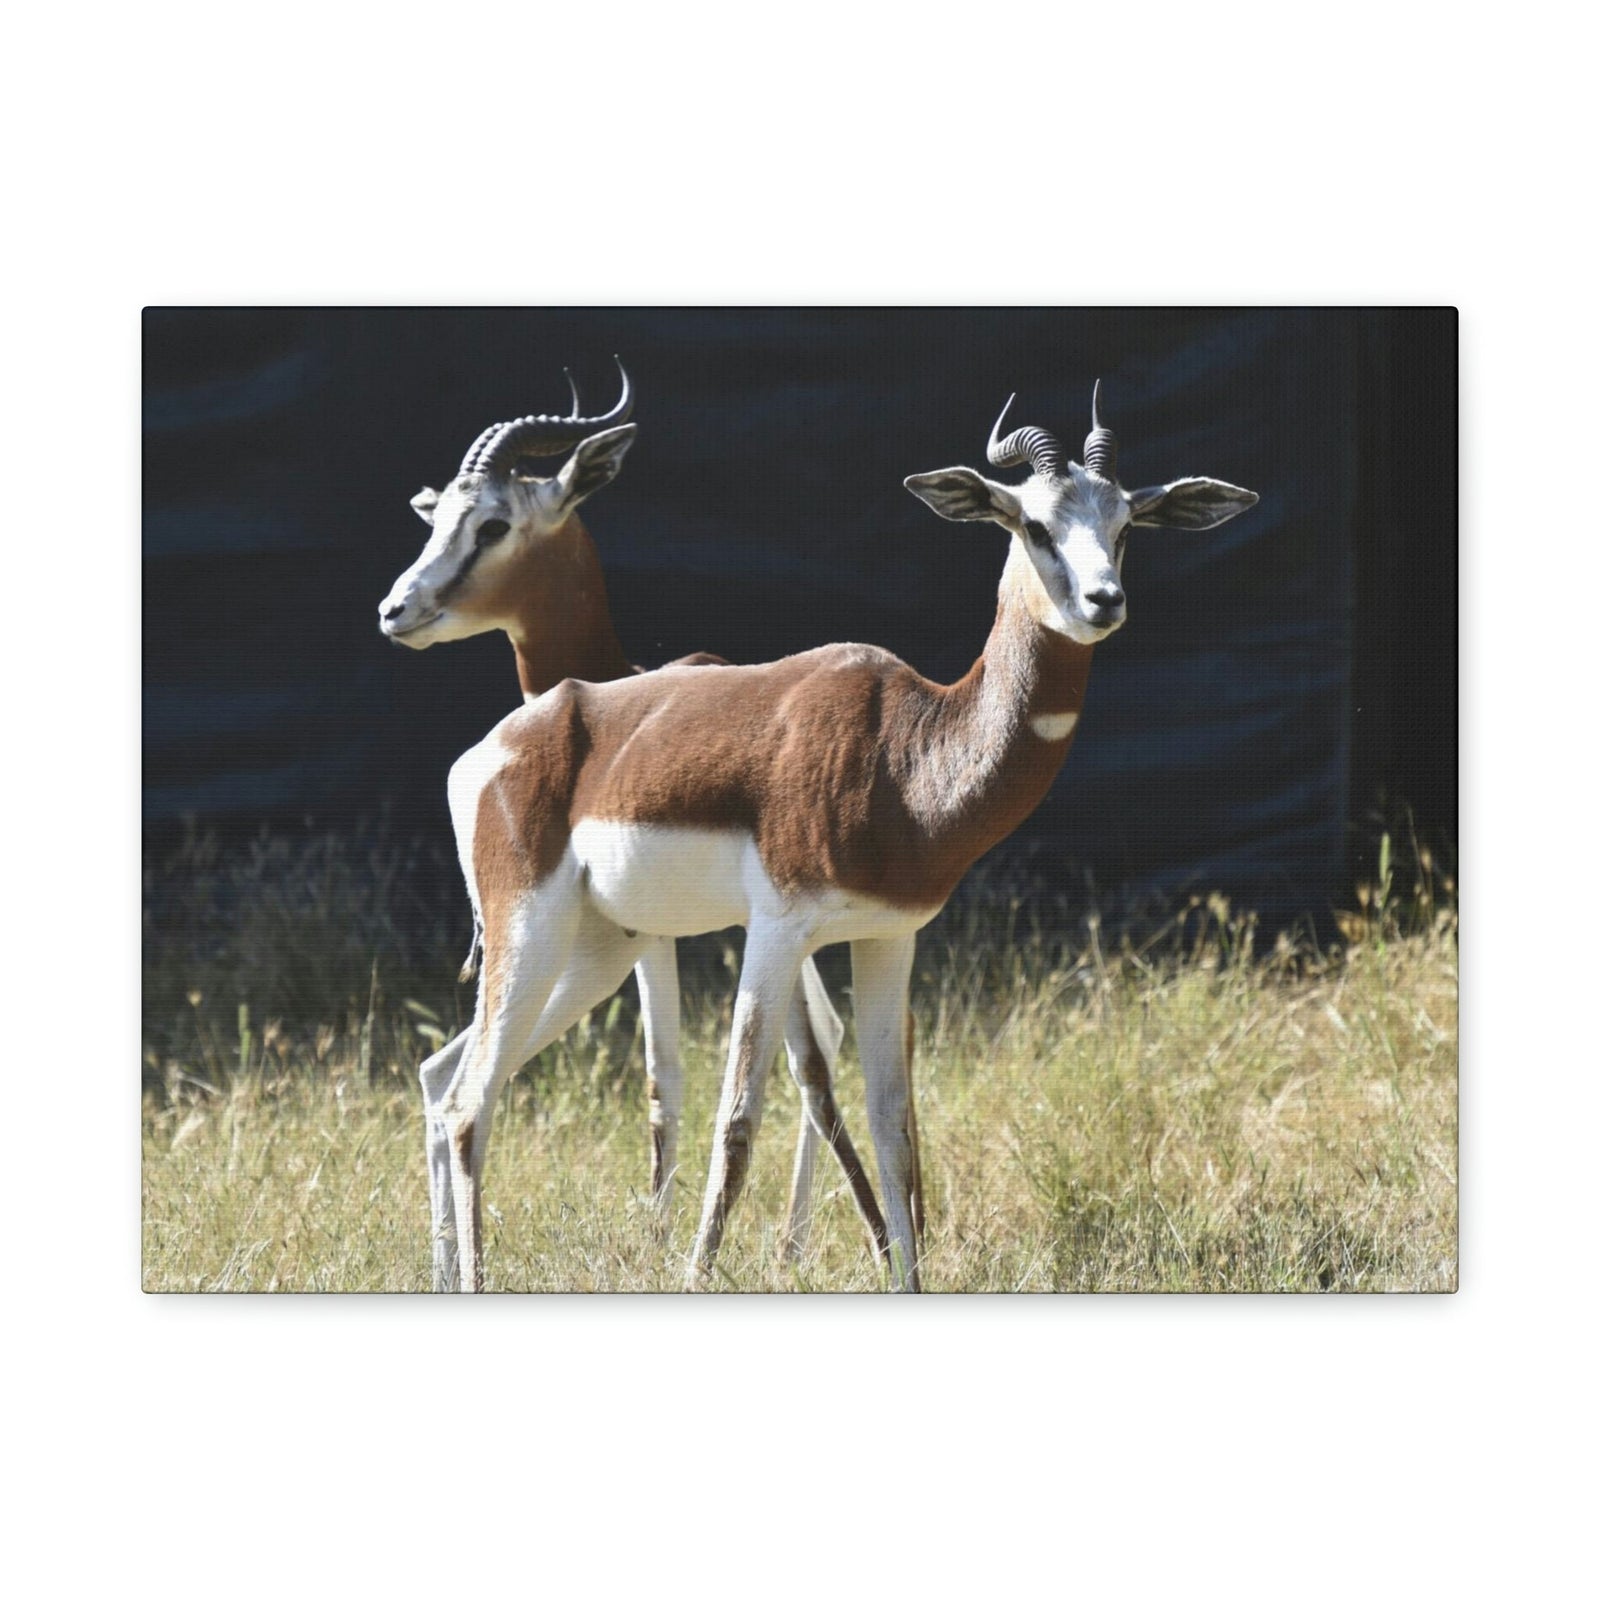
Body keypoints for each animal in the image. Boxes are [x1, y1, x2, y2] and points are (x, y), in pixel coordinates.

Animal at [378, 363, 886, 1291]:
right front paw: (660, 1237)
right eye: (436, 520)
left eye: (493, 522)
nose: (397, 610)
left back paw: (792, 1243)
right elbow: (666, 1078)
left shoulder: (687, 936)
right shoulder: (660, 937)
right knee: (451, 1078)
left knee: (818, 1049)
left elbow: (682, 1076)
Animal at [431, 381, 1257, 1291]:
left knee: (455, 1081)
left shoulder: (889, 937)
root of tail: (491, 749)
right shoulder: (776, 932)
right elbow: (738, 1119)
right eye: (1034, 524)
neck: (909, 750)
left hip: (599, 950)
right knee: (469, 1100)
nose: (1103, 602)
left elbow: (894, 1124)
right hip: (531, 934)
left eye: (1125, 525)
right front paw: (696, 1275)